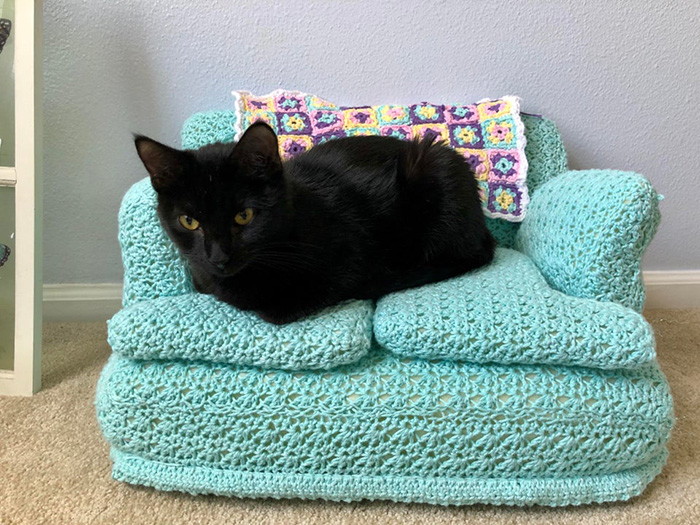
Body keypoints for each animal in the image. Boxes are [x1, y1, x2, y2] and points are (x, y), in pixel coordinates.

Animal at [134, 122, 494, 324]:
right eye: (189, 221)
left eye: (244, 215)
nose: (219, 257)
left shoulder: (353, 261)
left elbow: (278, 308)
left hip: (434, 170)